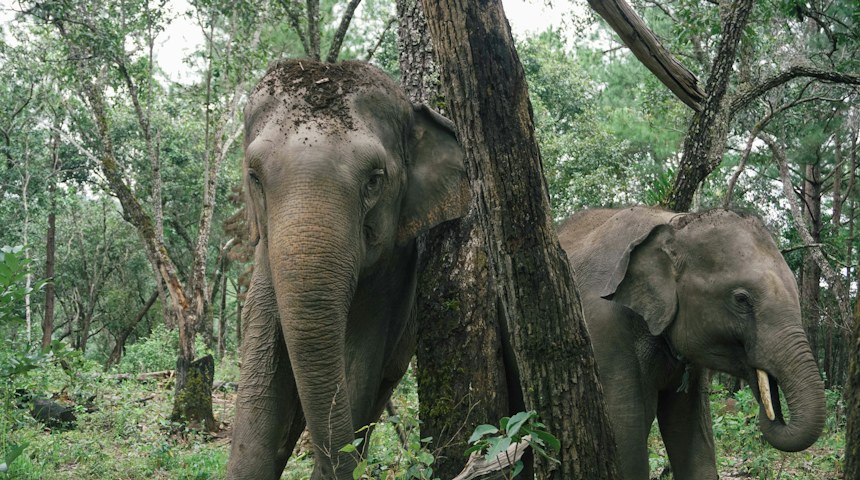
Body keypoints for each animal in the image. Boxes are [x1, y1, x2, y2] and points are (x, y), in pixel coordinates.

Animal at [225, 59, 469, 479]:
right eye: (254, 177)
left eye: (374, 180)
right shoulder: (265, 259)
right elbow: (263, 368)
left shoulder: (392, 273)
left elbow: (359, 361)